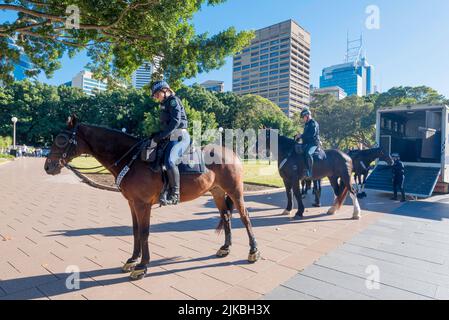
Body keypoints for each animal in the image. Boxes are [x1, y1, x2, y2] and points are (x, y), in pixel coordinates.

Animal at [44, 115, 260, 280]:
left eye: (62, 139)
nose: (48, 166)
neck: (132, 159)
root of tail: (232, 153)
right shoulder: (132, 203)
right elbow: (135, 231)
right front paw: (132, 260)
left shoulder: (143, 205)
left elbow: (145, 232)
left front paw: (142, 266)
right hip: (217, 192)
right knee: (226, 216)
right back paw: (225, 248)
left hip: (235, 191)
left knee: (245, 217)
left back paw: (253, 251)